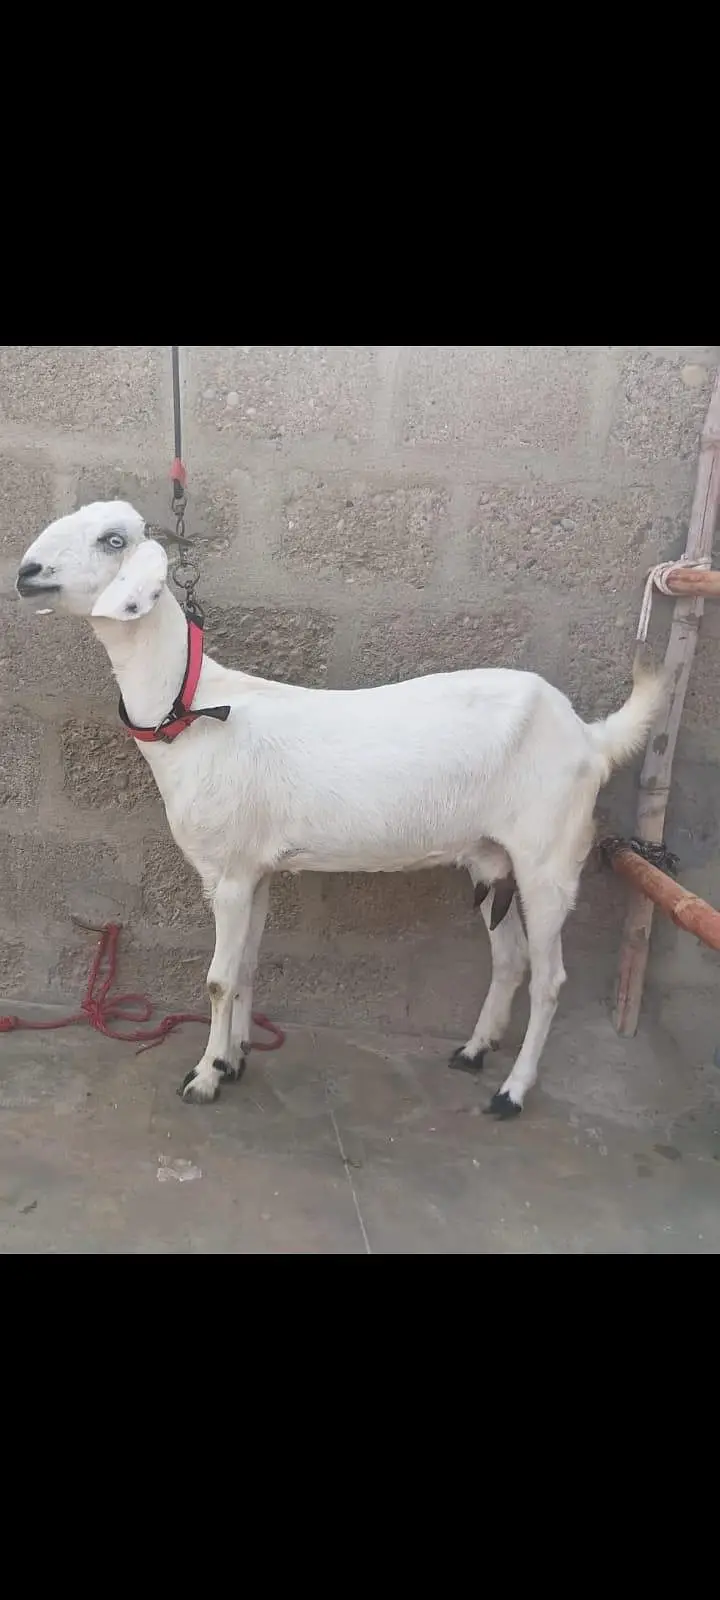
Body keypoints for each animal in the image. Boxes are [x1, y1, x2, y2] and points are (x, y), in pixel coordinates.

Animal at [16, 502, 665, 1115]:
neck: (193, 711)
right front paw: (235, 1058)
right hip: (490, 857)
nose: (26, 573)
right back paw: (475, 1051)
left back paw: (512, 1092)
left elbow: (219, 979)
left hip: (549, 857)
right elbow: (247, 965)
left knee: (550, 979)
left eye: (114, 540)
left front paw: (203, 1077)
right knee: (510, 960)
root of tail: (591, 737)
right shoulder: (256, 869)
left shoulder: (227, 872)